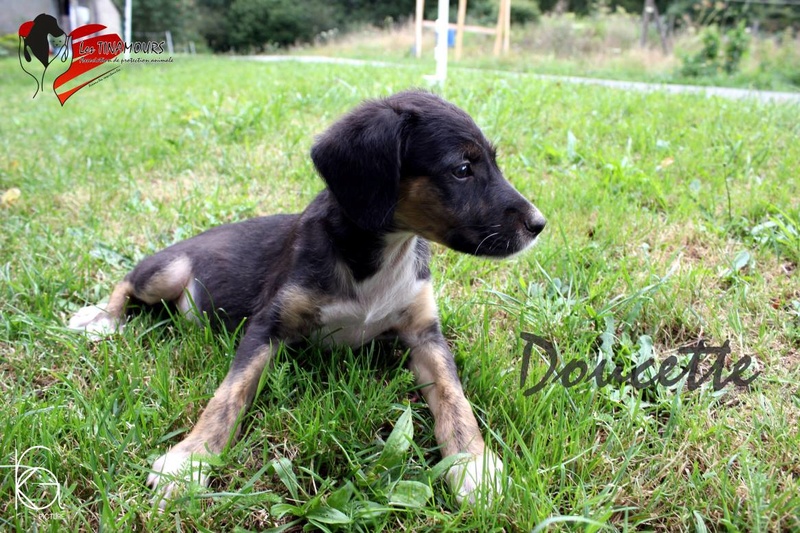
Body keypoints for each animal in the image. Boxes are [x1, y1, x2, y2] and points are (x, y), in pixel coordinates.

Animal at [69, 91, 548, 508]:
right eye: (462, 169)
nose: (539, 225)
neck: (378, 257)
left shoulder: (425, 335)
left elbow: (455, 398)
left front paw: (474, 467)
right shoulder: (267, 326)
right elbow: (228, 394)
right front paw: (189, 461)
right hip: (167, 271)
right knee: (127, 282)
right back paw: (100, 319)